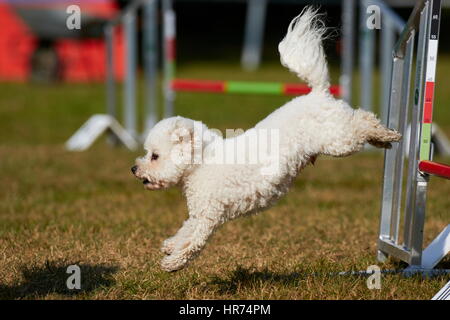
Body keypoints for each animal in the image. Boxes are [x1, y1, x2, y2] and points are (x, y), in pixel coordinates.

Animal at [131, 6, 400, 272]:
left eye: (154, 156)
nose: (134, 168)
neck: (201, 163)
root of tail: (319, 93)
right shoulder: (199, 214)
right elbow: (185, 231)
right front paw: (169, 246)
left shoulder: (209, 216)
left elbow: (193, 243)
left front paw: (172, 262)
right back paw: (383, 140)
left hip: (338, 140)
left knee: (363, 120)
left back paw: (387, 134)